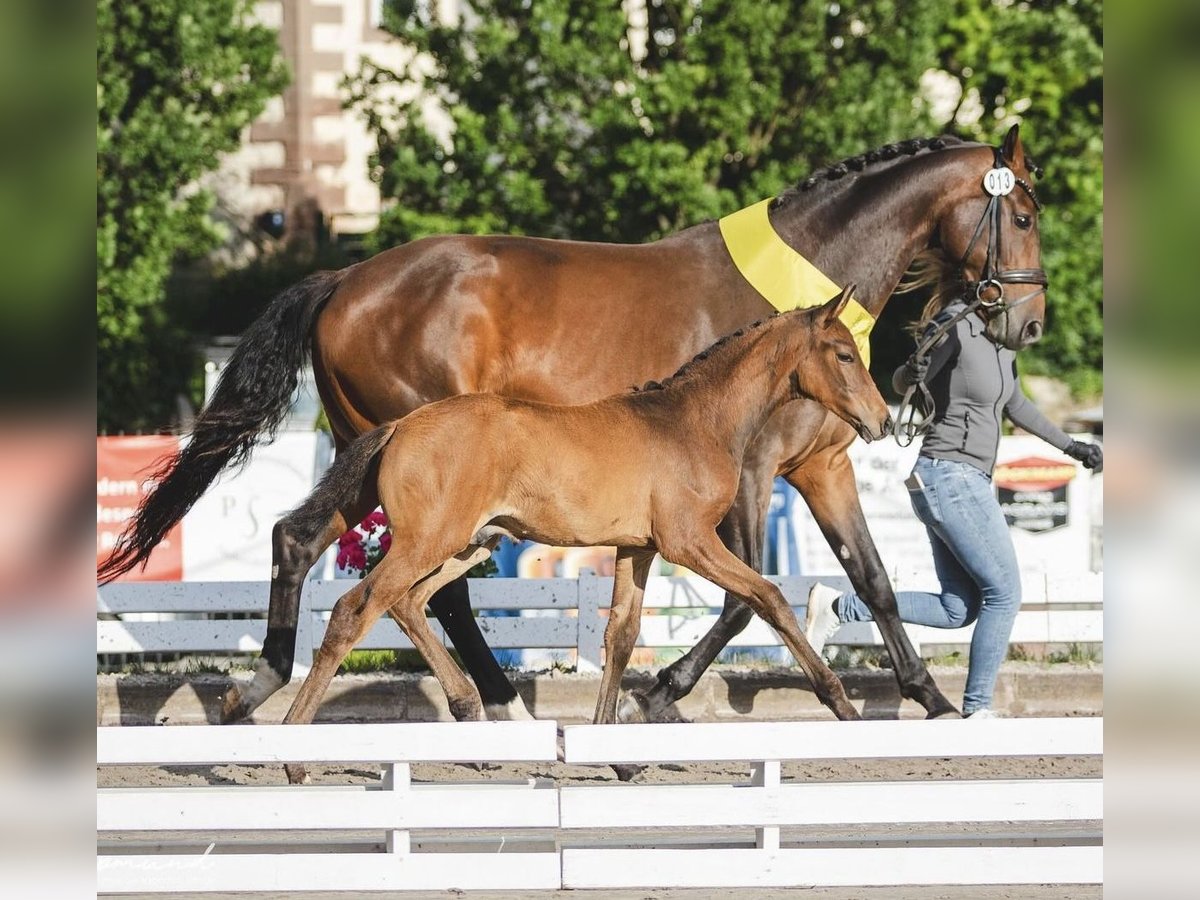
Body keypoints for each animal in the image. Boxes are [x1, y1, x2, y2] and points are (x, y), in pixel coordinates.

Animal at [98, 127, 1046, 729]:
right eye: (1027, 215)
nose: (1028, 324)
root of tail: (344, 279)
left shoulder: (821, 467)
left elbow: (871, 577)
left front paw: (927, 696)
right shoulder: (750, 475)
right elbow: (748, 596)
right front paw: (663, 689)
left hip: (363, 454)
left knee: (305, 540)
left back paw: (257, 686)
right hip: (424, 467)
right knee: (428, 584)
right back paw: (488, 698)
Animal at [276, 296, 888, 782]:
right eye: (843, 354)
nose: (882, 421)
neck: (693, 422)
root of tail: (400, 426)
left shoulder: (638, 548)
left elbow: (621, 635)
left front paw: (613, 752)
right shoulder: (689, 541)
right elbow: (769, 596)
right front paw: (845, 709)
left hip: (469, 544)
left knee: (409, 602)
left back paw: (469, 707)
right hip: (431, 541)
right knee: (357, 609)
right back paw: (293, 755)